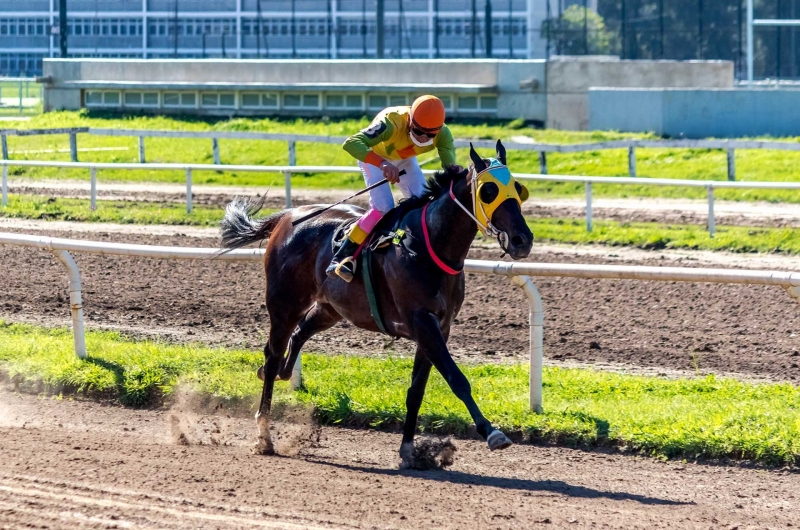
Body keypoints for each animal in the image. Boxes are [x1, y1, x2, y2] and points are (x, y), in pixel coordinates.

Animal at [219, 141, 532, 466]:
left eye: (518, 188)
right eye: (489, 191)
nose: (523, 240)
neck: (427, 245)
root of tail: (286, 217)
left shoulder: (438, 328)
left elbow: (416, 391)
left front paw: (408, 450)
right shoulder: (422, 322)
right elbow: (457, 379)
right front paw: (492, 433)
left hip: (330, 308)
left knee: (297, 336)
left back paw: (282, 372)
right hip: (284, 304)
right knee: (272, 356)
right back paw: (264, 435)